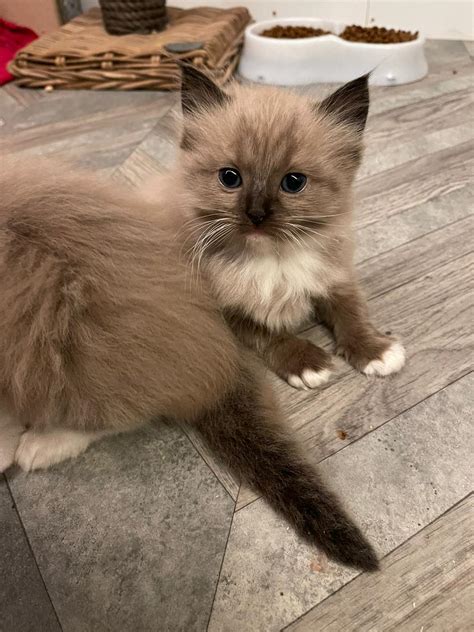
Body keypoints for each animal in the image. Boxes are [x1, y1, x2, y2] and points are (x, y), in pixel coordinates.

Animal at [165, 66, 406, 388]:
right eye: (229, 178)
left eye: (294, 182)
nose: (256, 214)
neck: (274, 258)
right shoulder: (227, 310)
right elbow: (269, 333)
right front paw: (307, 364)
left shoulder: (337, 277)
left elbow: (351, 313)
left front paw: (375, 351)